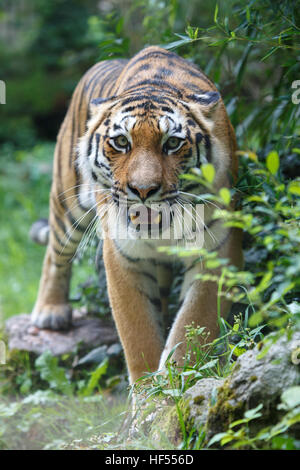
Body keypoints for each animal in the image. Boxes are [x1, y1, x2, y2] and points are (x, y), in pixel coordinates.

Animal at [30, 46, 243, 384]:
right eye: (121, 142)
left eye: (173, 143)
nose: (143, 190)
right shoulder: (123, 255)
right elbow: (138, 333)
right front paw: (147, 390)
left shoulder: (217, 249)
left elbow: (193, 323)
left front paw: (175, 381)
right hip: (67, 200)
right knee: (56, 253)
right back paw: (50, 311)